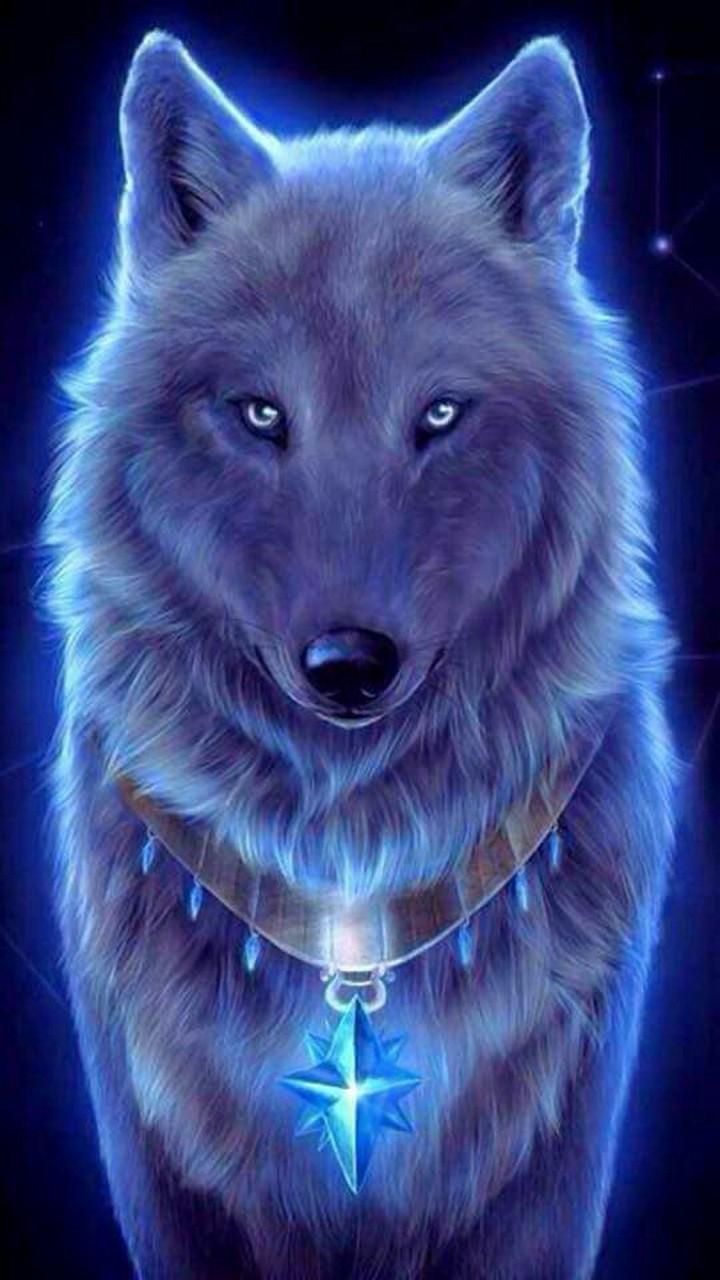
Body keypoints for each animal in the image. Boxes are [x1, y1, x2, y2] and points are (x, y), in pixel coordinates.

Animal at [44, 27, 676, 1280]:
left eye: (437, 415)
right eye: (259, 414)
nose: (348, 663)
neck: (350, 883)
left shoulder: (554, 1155)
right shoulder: (159, 1161)